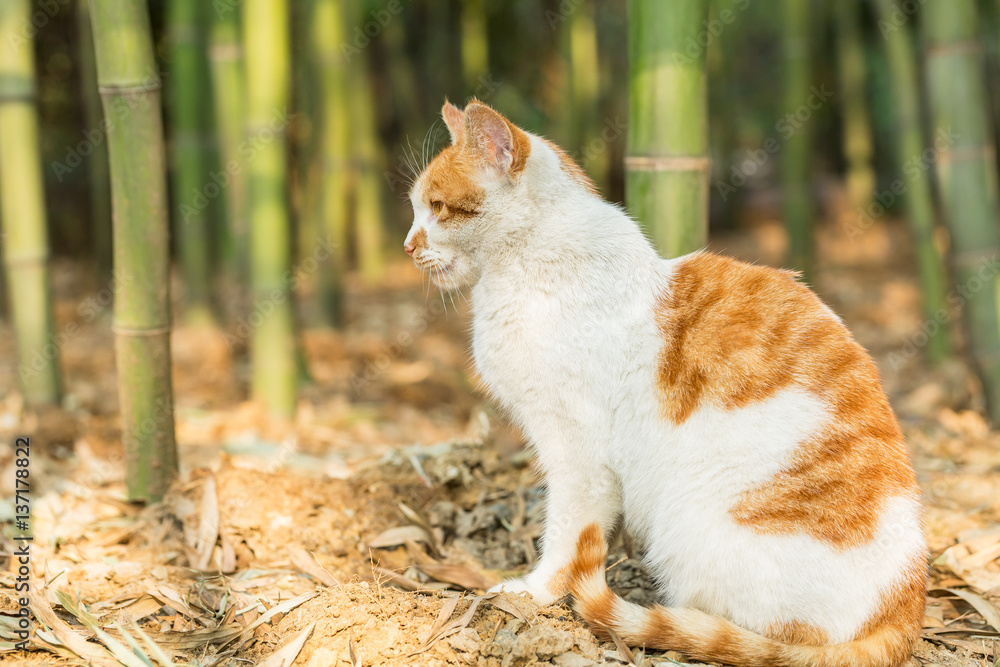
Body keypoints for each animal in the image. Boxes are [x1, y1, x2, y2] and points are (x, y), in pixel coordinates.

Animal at [402, 100, 924, 667]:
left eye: (437, 207)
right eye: (416, 208)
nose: (407, 245)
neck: (524, 267)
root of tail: (906, 608)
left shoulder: (577, 454)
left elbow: (566, 534)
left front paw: (535, 593)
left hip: (693, 523)